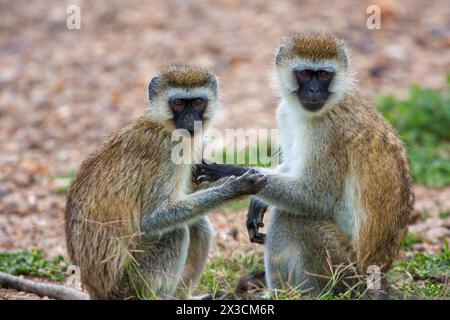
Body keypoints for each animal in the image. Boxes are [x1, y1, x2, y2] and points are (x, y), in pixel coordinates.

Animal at [64, 65, 266, 300]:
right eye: (178, 103)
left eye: (198, 102)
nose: (190, 121)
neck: (165, 127)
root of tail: (99, 292)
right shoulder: (167, 152)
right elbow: (152, 219)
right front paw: (237, 188)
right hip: (130, 283)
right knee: (176, 231)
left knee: (197, 224)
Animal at [195, 32, 414, 296]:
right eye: (305, 73)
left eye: (323, 75)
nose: (313, 89)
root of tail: (375, 277)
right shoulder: (285, 113)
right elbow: (292, 164)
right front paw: (257, 200)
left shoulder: (328, 131)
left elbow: (315, 198)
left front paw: (231, 171)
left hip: (342, 269)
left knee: (291, 218)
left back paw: (282, 293)